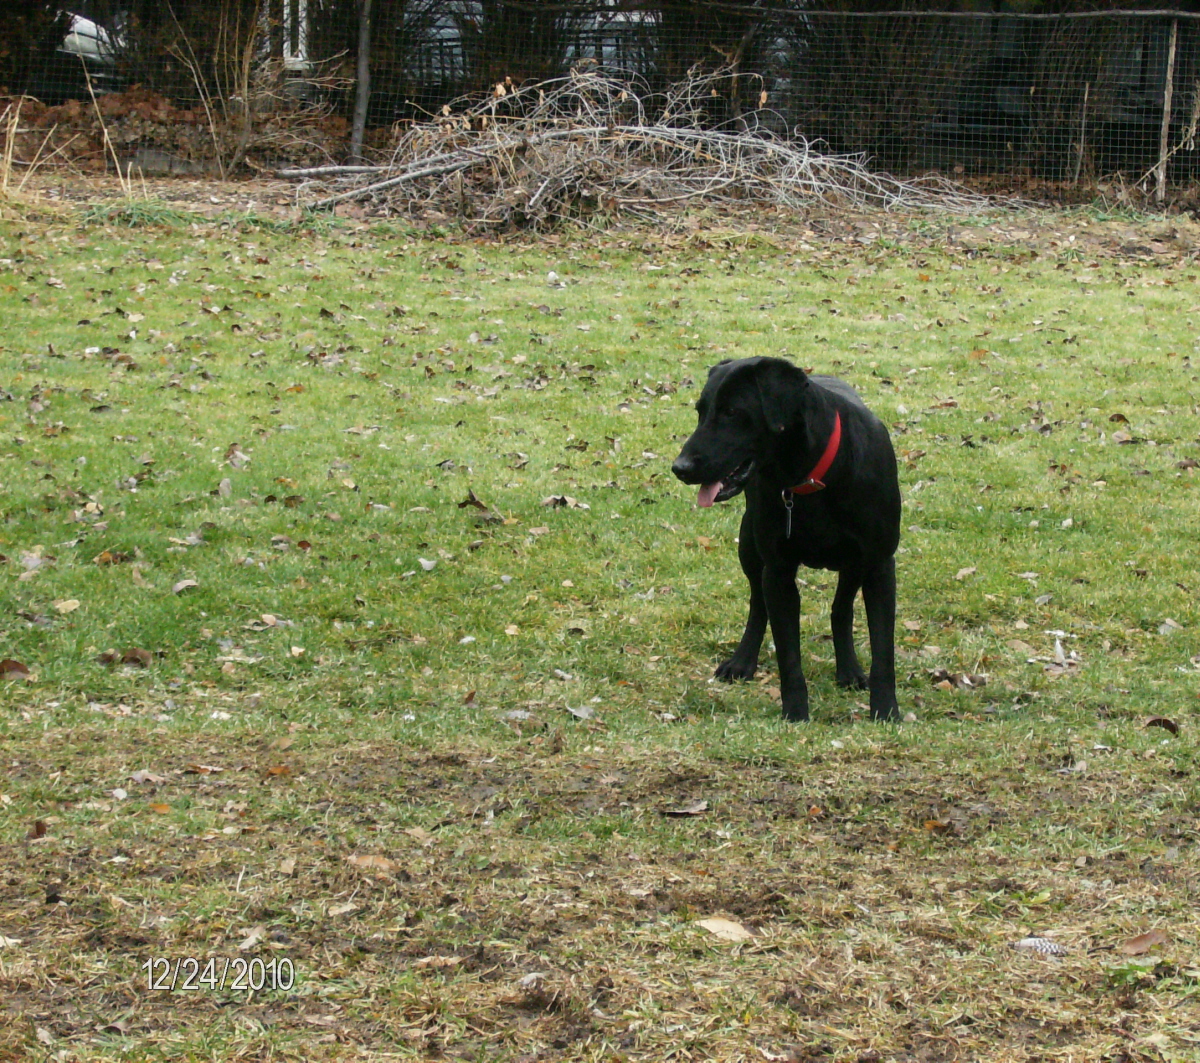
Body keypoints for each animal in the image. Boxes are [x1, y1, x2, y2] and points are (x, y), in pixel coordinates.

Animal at [672, 357, 897, 724]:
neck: (811, 475)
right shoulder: (777, 571)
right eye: (700, 412)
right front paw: (795, 715)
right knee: (757, 604)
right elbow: (789, 656)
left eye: (732, 412)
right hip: (749, 545)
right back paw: (743, 661)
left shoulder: (879, 566)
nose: (680, 467)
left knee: (841, 609)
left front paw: (887, 710)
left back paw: (849, 670)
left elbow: (883, 652)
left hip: (854, 565)